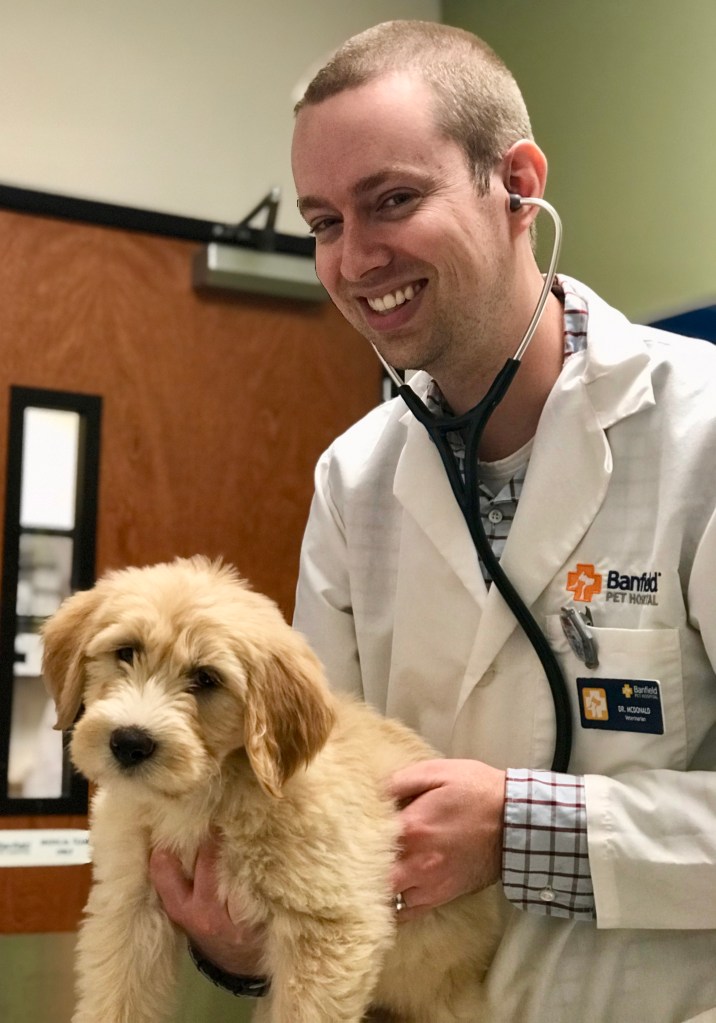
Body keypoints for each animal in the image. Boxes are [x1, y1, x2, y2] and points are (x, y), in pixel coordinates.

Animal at [42, 557, 502, 1023]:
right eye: (126, 651)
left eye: (206, 679)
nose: (129, 742)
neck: (205, 792)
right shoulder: (129, 908)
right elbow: (116, 1000)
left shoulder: (329, 929)